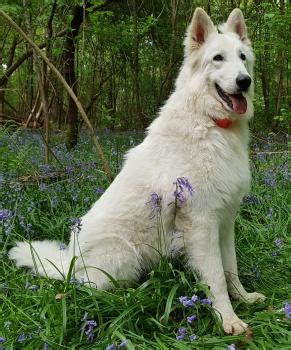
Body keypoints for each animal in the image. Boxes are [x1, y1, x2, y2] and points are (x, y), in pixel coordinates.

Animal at [10, 8, 266, 334]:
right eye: (218, 58)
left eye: (242, 57)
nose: (244, 81)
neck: (210, 123)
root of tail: (69, 263)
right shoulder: (201, 222)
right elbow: (217, 278)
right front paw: (228, 320)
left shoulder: (224, 221)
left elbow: (230, 269)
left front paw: (243, 299)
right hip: (124, 255)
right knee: (88, 290)